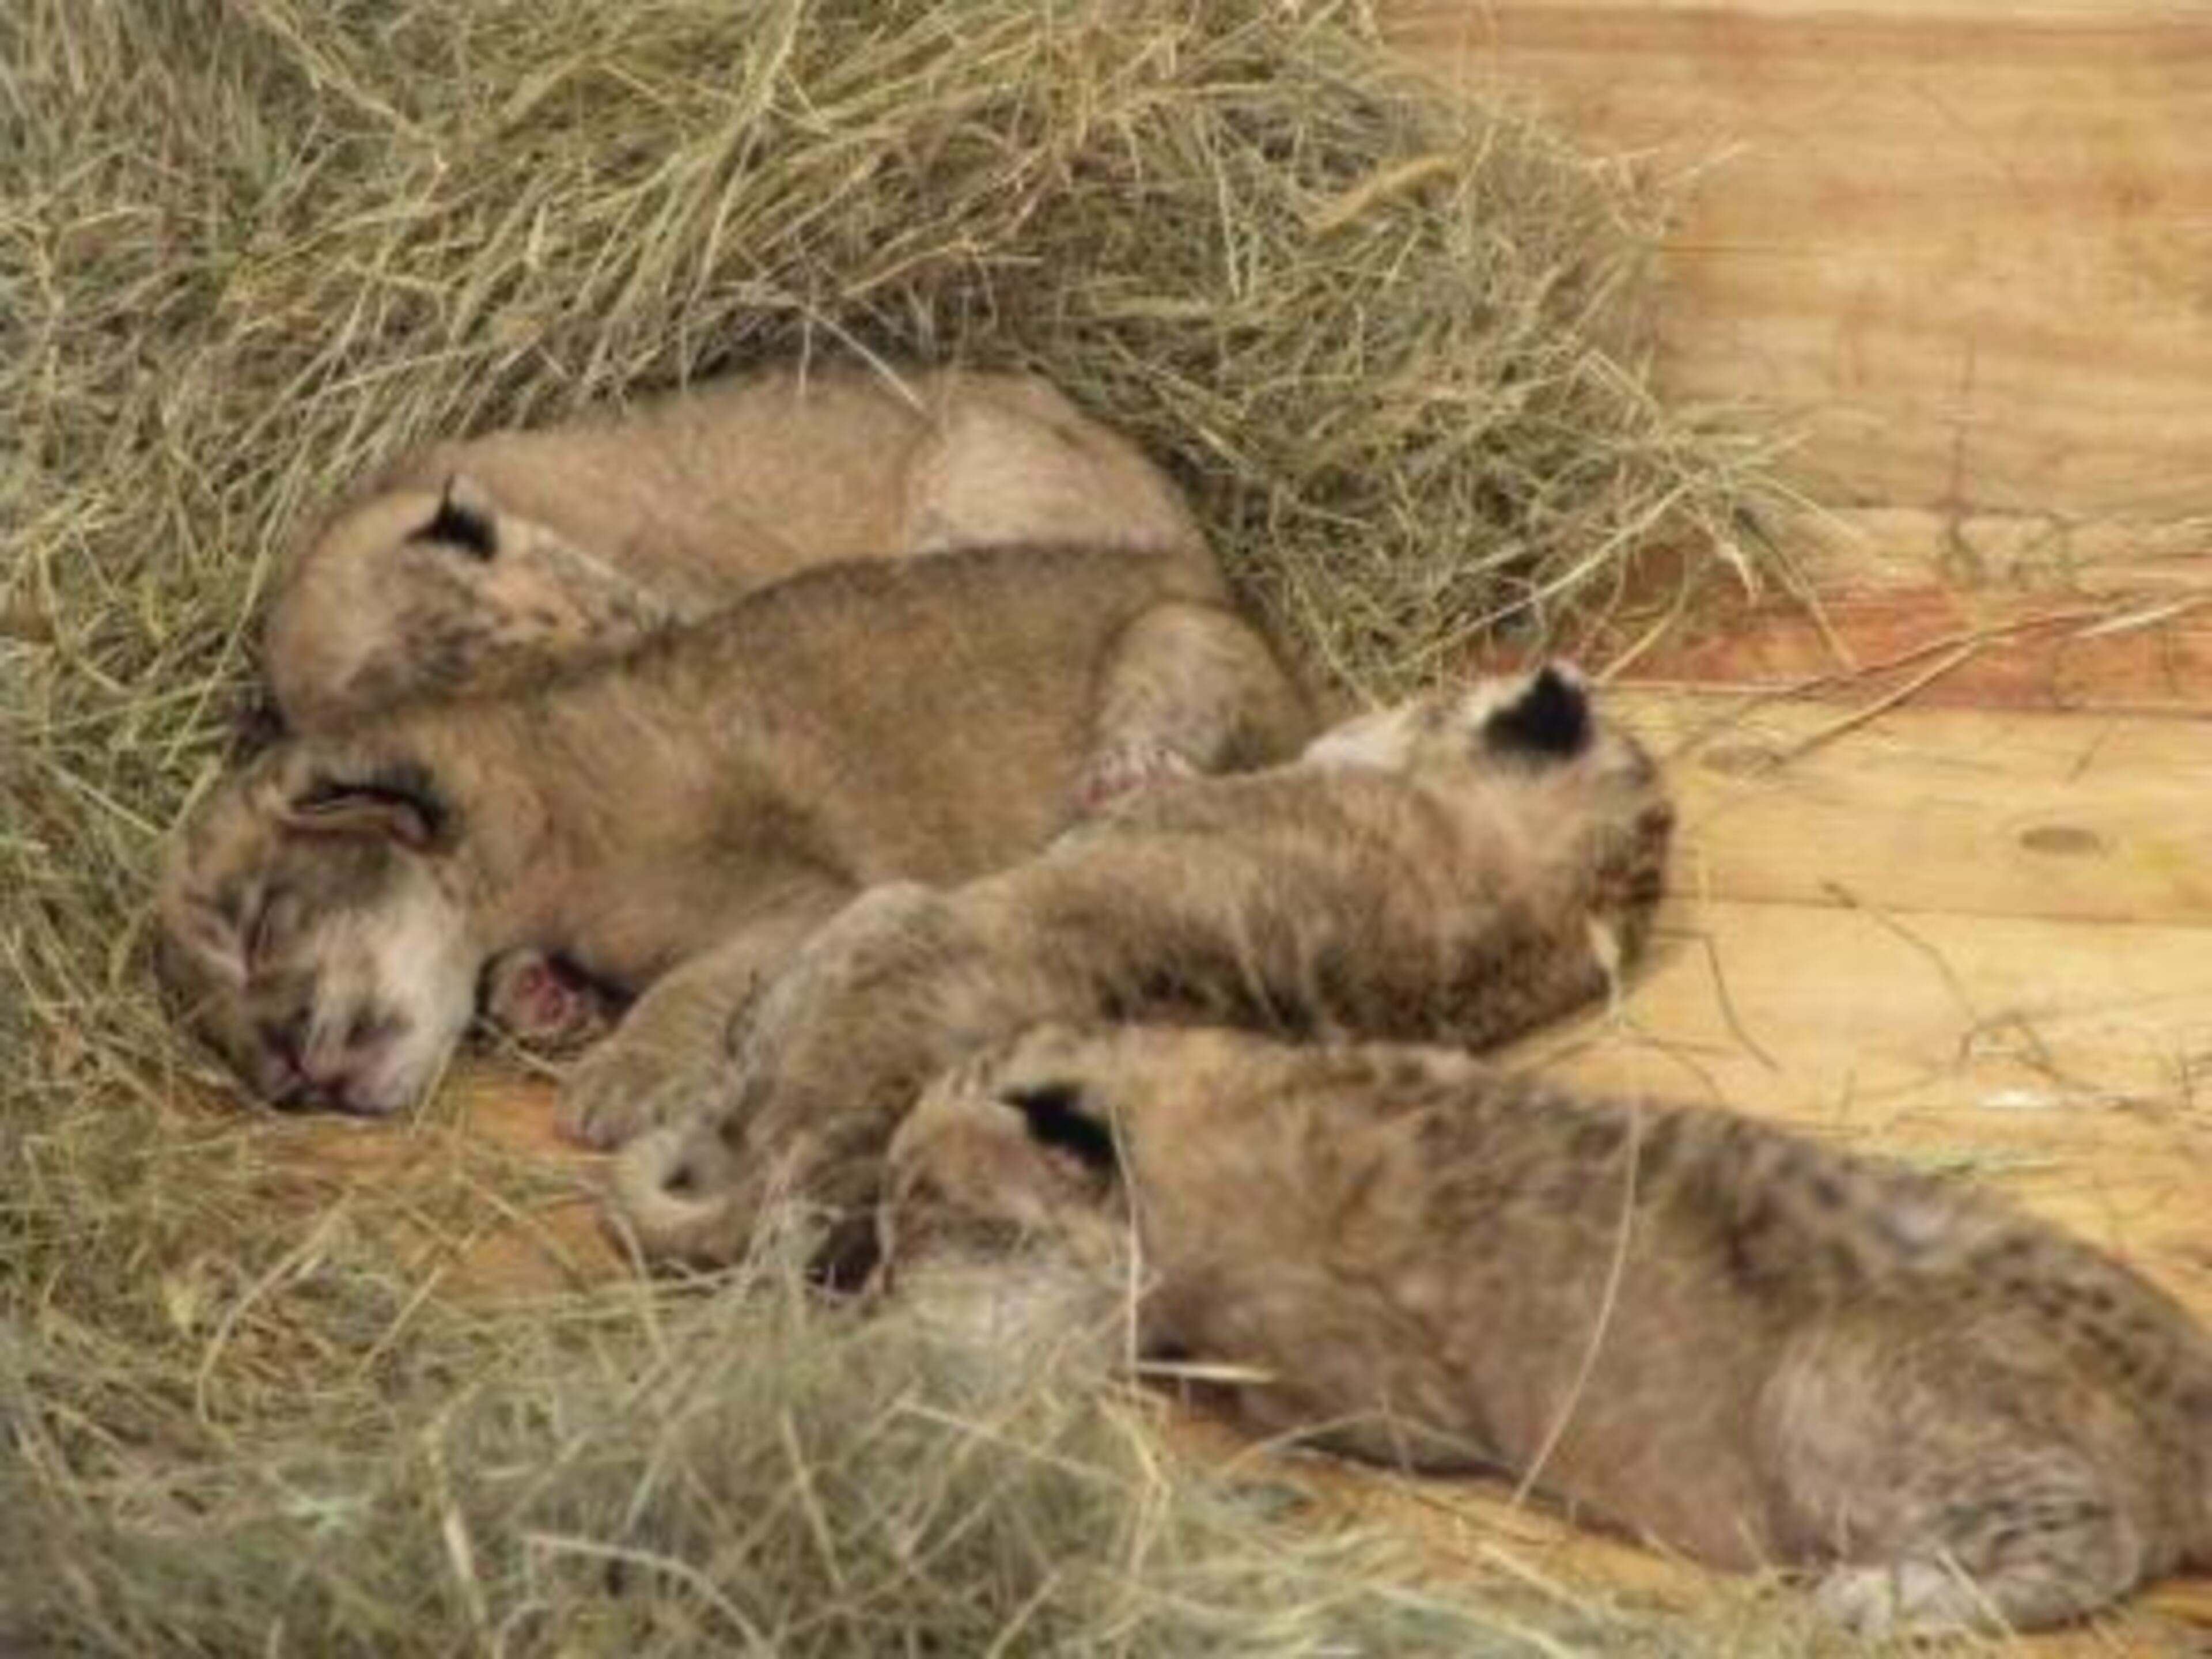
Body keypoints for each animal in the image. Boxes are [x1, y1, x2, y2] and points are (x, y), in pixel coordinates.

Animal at [157, 542, 1312, 1123]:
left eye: (256, 928)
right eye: (211, 1028)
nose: (283, 1080)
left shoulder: (804, 900)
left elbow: (696, 980)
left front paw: (623, 1074)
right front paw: (543, 998)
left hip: (1176, 639)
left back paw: (1126, 784)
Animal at [881, 1021, 2212, 1638]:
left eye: (932, 1211)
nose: (876, 1295)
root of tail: (2185, 1373)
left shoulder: (1388, 1404)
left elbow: (1246, 1388)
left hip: (1833, 1383)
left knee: (2084, 1536)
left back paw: (1884, 1597)